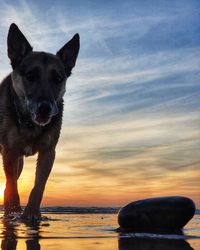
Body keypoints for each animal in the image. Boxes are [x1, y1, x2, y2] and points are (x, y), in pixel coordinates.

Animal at [0, 22, 79, 220]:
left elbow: (38, 186)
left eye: (58, 79)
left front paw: (31, 214)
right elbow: (12, 187)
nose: (45, 108)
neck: (30, 124)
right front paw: (13, 213)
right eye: (31, 76)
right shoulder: (10, 152)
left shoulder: (48, 153)